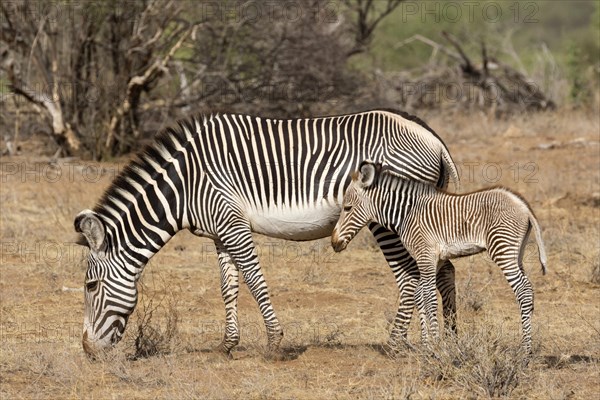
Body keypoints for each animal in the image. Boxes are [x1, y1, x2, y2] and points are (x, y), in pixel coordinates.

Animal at [75, 108, 460, 358]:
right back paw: (440, 342)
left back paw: (397, 344)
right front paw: (227, 345)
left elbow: (255, 280)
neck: (184, 186)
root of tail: (431, 136)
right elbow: (228, 286)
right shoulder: (219, 232)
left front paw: (274, 342)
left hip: (389, 218)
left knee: (410, 277)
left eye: (90, 286)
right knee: (441, 273)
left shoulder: (232, 223)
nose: (88, 350)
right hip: (423, 216)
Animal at [332, 161, 548, 352]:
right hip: (516, 252)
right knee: (528, 288)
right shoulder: (432, 259)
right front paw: (427, 345)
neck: (407, 213)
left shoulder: (424, 255)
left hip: (502, 249)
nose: (334, 243)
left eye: (347, 208)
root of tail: (523, 205)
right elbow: (420, 294)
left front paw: (436, 345)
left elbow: (428, 296)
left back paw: (525, 351)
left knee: (523, 291)